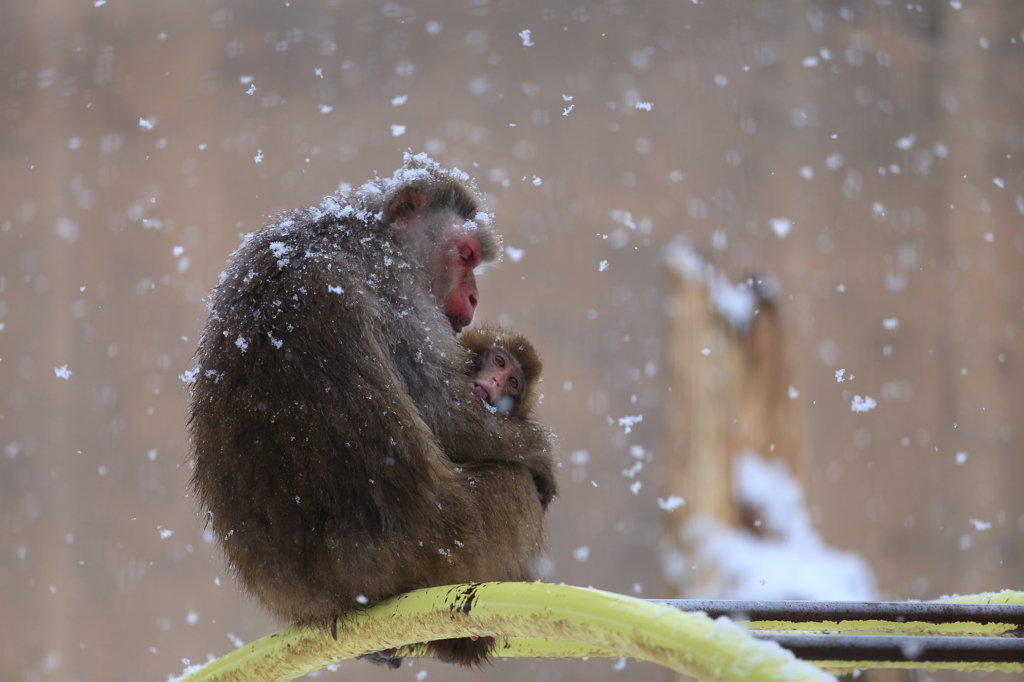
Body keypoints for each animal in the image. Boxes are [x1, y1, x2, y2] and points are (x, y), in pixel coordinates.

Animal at [188, 152, 557, 663]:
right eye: (465, 256)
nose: (474, 295)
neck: (364, 233)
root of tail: (331, 595)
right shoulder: (398, 291)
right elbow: (450, 418)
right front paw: (541, 454)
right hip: (449, 539)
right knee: (513, 489)